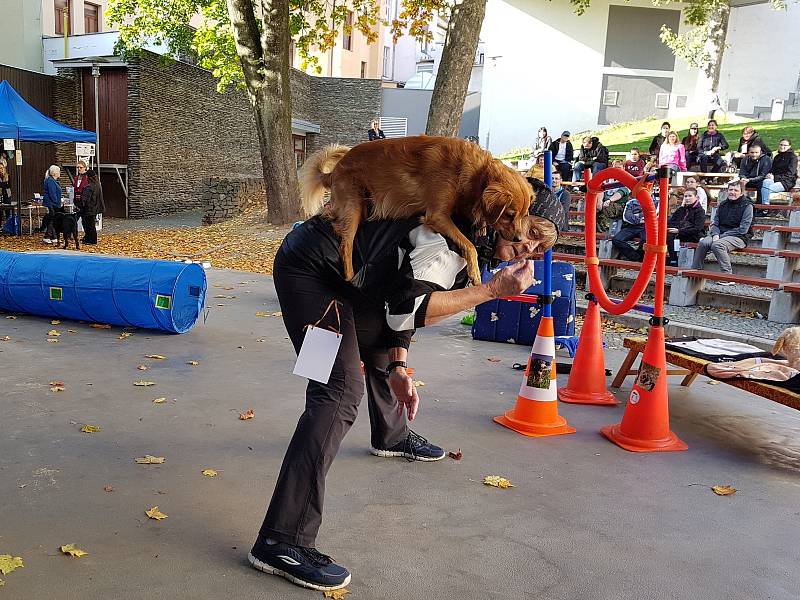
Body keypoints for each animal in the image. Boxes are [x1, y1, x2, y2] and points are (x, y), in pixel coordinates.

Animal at [296, 136, 536, 286]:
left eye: (523, 215)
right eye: (509, 215)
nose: (519, 238)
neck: (475, 173)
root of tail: (333, 171)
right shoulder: (437, 216)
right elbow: (469, 246)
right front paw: (475, 273)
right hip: (354, 206)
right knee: (345, 244)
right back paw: (349, 276)